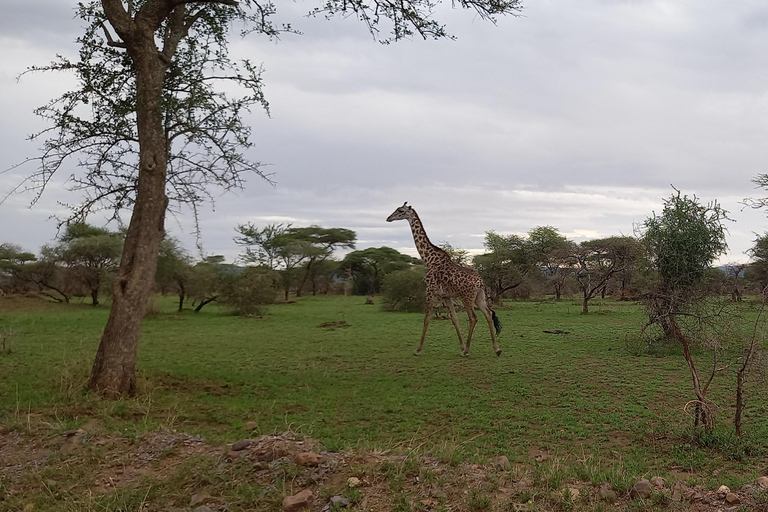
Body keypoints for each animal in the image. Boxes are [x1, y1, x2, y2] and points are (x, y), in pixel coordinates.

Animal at [388, 203, 500, 356]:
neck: (430, 260)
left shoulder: (430, 291)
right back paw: (497, 349)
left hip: (467, 297)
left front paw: (418, 349)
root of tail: (480, 282)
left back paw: (468, 351)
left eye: (400, 210)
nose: (388, 218)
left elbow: (427, 319)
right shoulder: (447, 296)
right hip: (479, 297)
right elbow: (454, 319)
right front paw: (461, 347)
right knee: (488, 314)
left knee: (473, 318)